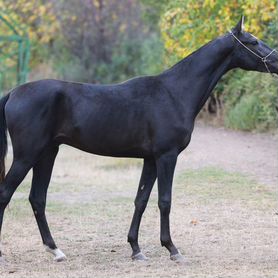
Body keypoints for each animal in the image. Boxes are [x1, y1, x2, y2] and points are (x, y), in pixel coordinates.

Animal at [0, 17, 278, 262]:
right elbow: (164, 201)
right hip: (27, 156)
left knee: (37, 198)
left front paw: (136, 249)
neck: (174, 92)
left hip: (48, 153)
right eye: (253, 42)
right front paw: (172, 249)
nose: (276, 60)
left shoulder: (150, 160)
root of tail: (13, 93)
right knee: (6, 194)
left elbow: (141, 200)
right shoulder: (167, 156)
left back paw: (56, 250)